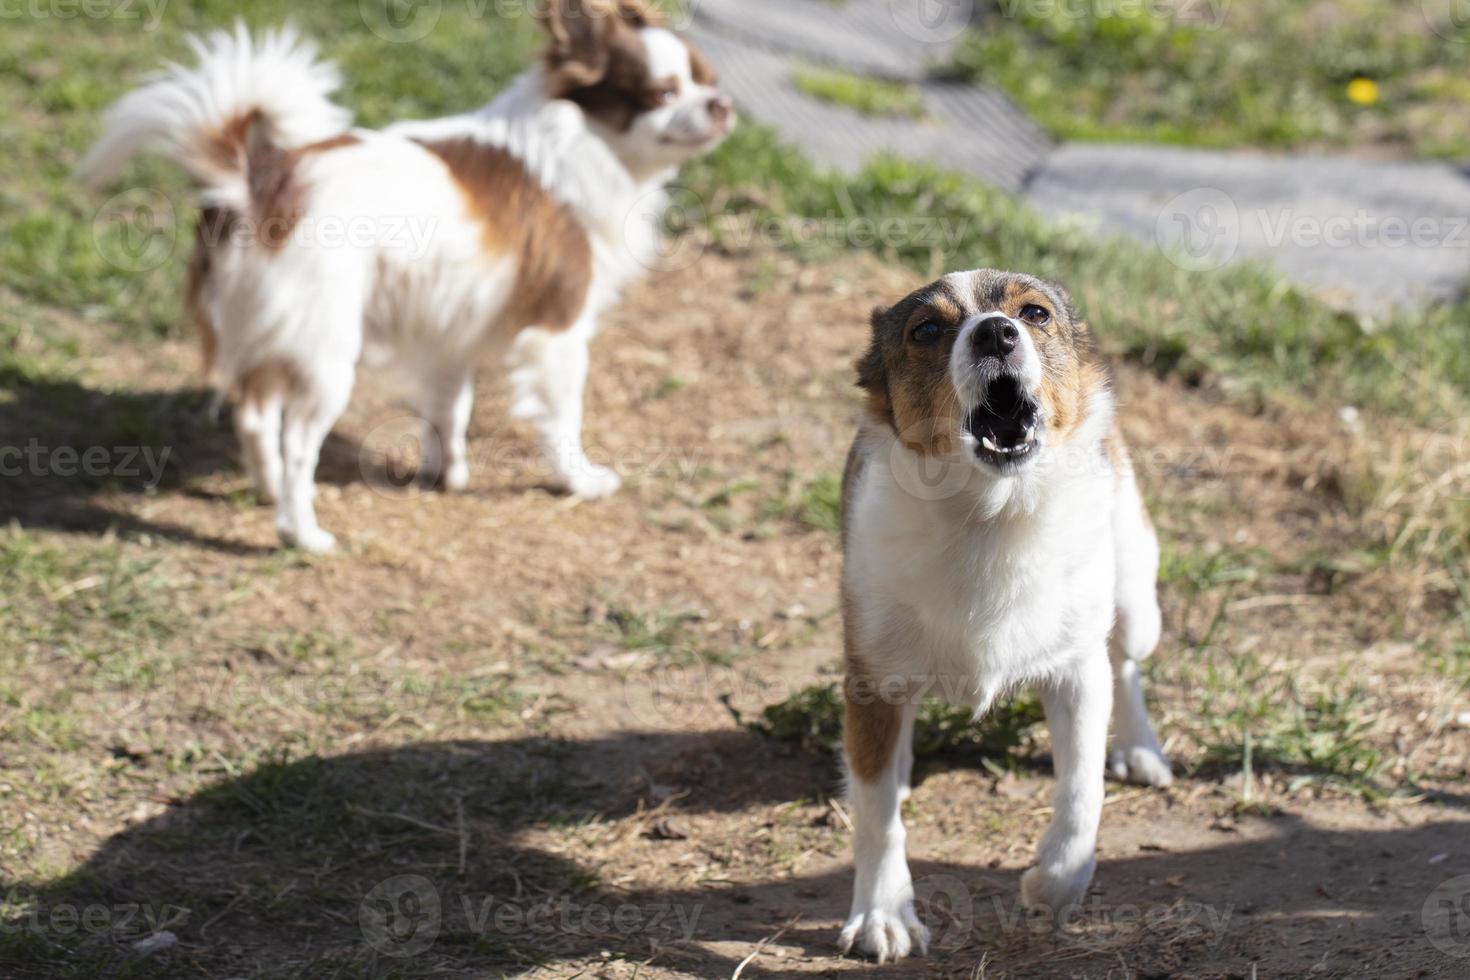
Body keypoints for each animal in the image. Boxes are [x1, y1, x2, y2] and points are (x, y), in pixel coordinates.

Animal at [77, 0, 732, 552]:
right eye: (663, 93)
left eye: (708, 80)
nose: (722, 105)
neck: (576, 141)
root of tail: (255, 180)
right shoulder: (558, 332)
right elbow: (562, 418)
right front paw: (579, 480)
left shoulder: (452, 332)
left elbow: (449, 409)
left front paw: (447, 473)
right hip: (327, 355)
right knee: (296, 443)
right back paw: (301, 532)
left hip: (274, 330)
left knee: (256, 418)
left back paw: (269, 493)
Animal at [840, 268, 1170, 963]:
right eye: (927, 330)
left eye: (1035, 313)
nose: (996, 331)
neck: (990, 513)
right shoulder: (871, 680)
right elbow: (877, 816)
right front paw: (883, 913)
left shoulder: (1077, 674)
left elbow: (1082, 789)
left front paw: (1056, 883)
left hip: (1135, 596)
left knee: (1126, 663)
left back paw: (1140, 747)